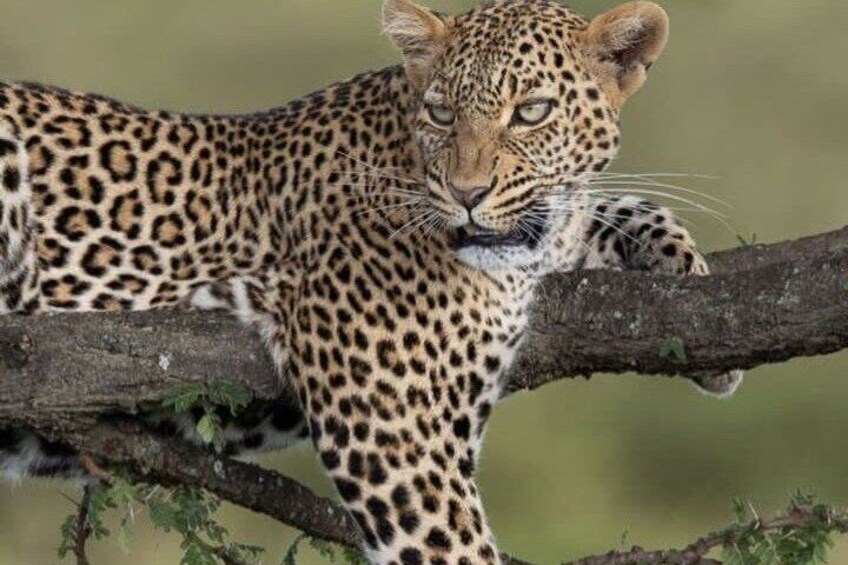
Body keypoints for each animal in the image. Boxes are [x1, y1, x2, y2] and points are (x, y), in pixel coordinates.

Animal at [0, 1, 742, 563]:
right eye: (443, 113)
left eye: (532, 111)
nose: (467, 194)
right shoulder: (392, 418)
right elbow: (459, 551)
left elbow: (624, 205)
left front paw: (695, 292)